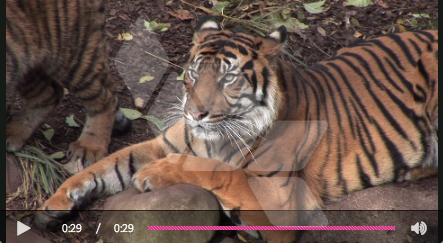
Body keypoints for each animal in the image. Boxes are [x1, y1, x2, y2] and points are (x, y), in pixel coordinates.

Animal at [6, 0, 131, 168]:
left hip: (71, 52)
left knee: (104, 96)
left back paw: (89, 147)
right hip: (26, 61)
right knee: (51, 95)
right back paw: (14, 131)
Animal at [33, 16, 438, 242]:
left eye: (228, 78)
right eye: (194, 73)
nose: (195, 114)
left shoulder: (279, 198)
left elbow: (219, 170)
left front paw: (155, 174)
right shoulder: (167, 142)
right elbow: (109, 164)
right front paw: (55, 202)